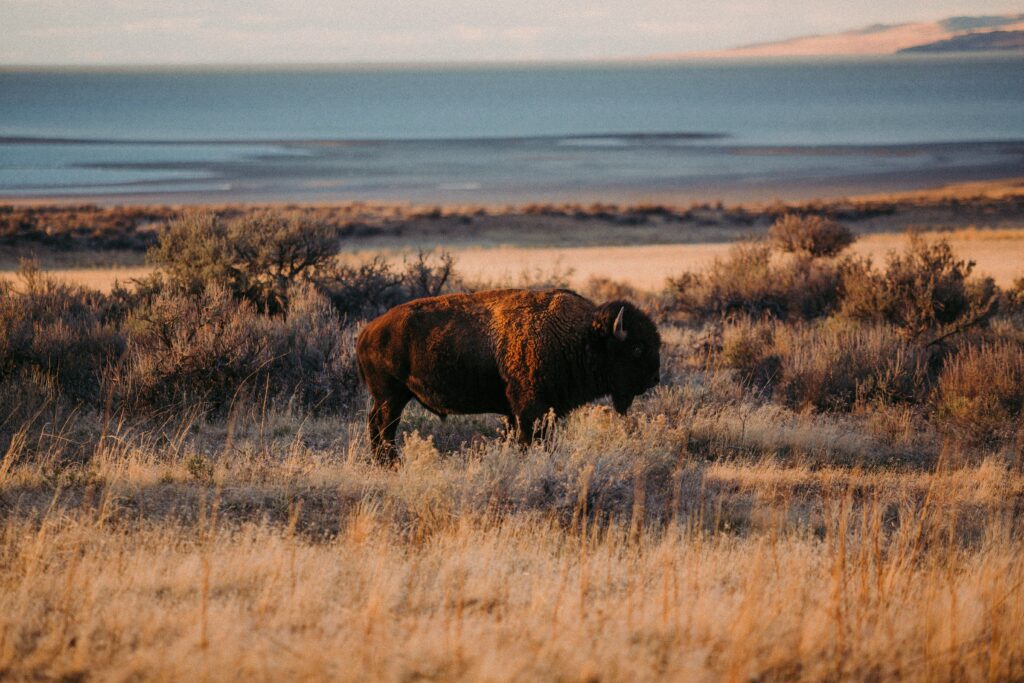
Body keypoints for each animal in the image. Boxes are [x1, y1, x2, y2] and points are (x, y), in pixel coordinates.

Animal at [356, 288, 661, 464]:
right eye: (636, 348)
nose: (655, 378)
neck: (581, 336)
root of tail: (367, 332)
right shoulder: (530, 410)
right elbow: (530, 440)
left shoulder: (526, 412)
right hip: (391, 397)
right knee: (383, 428)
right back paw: (390, 464)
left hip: (391, 397)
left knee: (377, 426)